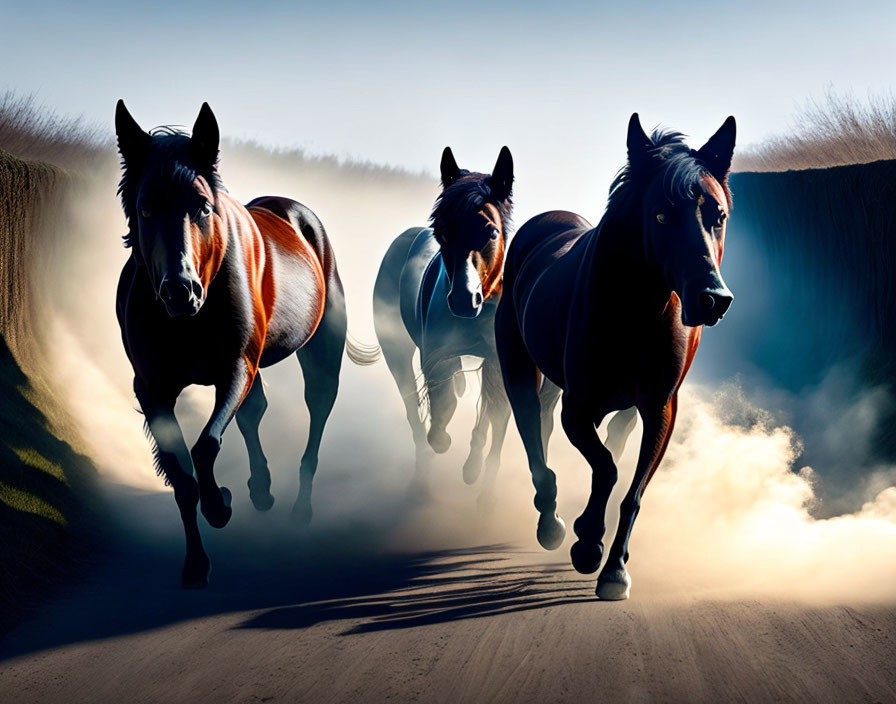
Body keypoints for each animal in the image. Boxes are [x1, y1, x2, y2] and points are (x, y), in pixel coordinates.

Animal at [496, 115, 736, 600]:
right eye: (661, 215)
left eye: (718, 216)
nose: (712, 300)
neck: (636, 313)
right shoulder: (578, 407)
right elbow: (605, 468)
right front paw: (587, 544)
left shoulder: (660, 409)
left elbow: (633, 488)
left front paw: (614, 569)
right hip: (518, 369)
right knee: (533, 437)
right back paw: (551, 523)